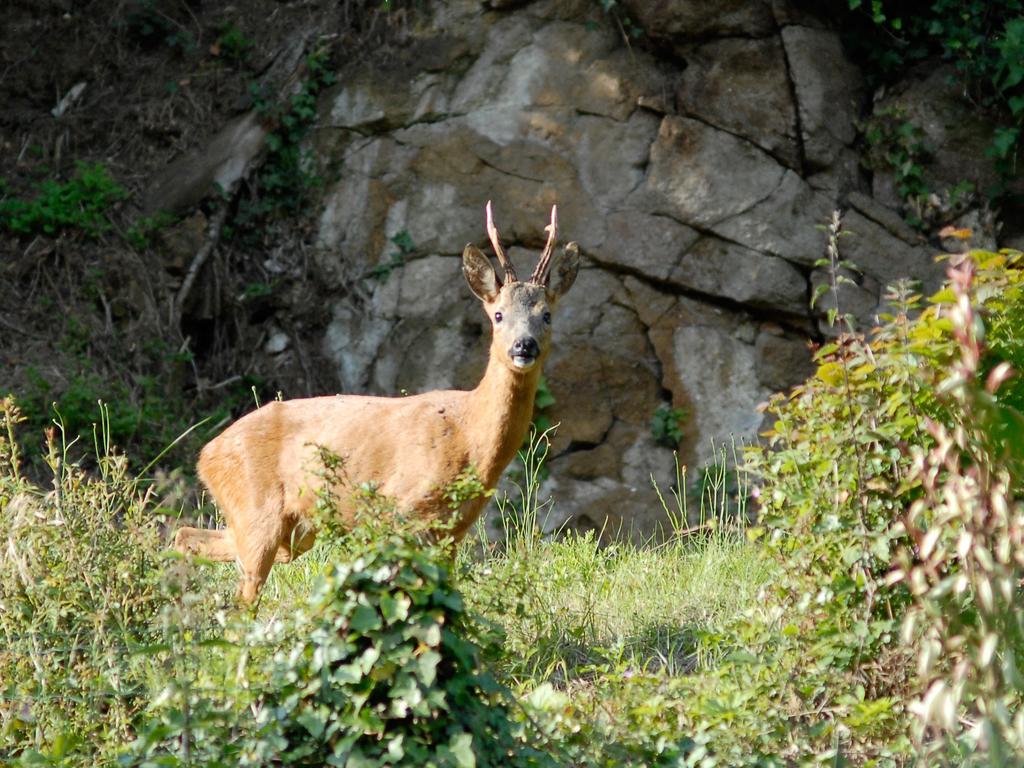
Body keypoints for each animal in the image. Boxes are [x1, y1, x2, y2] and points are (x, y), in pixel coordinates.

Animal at [172, 204, 581, 602]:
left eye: (546, 315)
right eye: (498, 315)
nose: (524, 346)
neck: (468, 436)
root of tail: (206, 455)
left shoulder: (452, 528)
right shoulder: (400, 510)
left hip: (292, 529)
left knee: (188, 537)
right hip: (258, 508)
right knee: (244, 593)